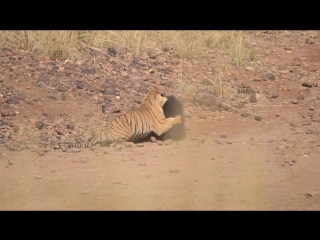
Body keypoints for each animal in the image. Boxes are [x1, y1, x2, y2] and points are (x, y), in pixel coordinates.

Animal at [53, 90, 181, 148]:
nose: (167, 98)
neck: (149, 99)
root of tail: (102, 132)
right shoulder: (160, 125)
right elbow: (170, 120)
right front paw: (179, 118)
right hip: (127, 131)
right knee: (117, 143)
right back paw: (132, 144)